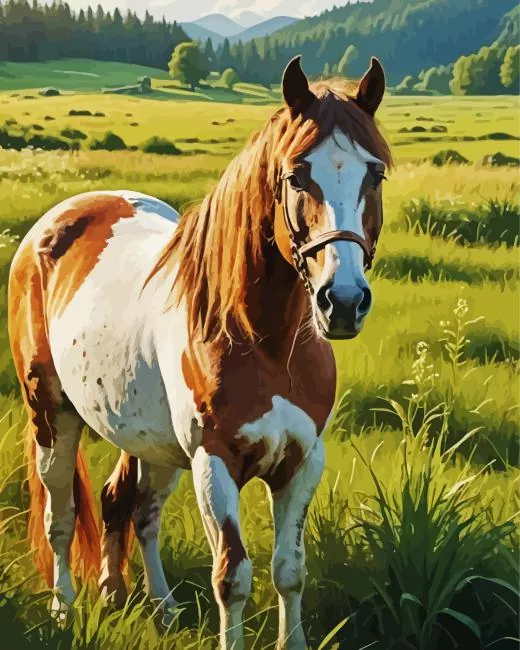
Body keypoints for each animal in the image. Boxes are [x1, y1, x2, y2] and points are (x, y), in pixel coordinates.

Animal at [8, 55, 391, 649]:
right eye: (296, 175)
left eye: (374, 174)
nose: (344, 301)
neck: (267, 344)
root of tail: (53, 226)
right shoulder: (215, 462)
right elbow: (231, 576)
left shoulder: (303, 461)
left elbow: (290, 570)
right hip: (51, 415)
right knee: (62, 517)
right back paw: (64, 610)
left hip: (149, 439)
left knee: (131, 508)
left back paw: (144, 603)